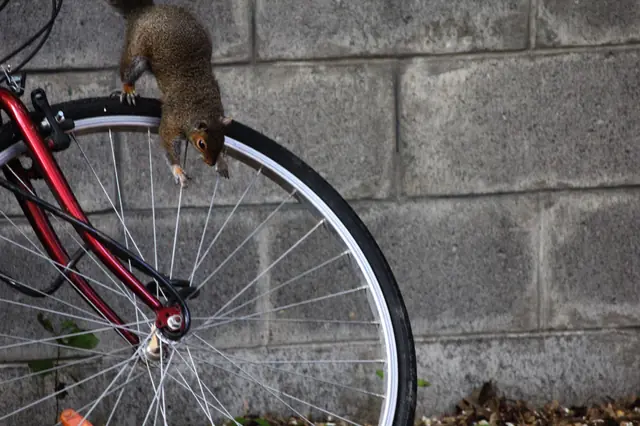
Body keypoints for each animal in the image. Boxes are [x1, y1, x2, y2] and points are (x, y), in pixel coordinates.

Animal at [105, 0, 231, 186]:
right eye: (201, 144)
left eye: (223, 141)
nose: (210, 162)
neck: (201, 106)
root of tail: (145, 10)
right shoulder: (173, 119)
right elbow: (166, 139)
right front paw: (177, 170)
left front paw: (222, 162)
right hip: (136, 51)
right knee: (128, 71)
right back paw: (128, 89)